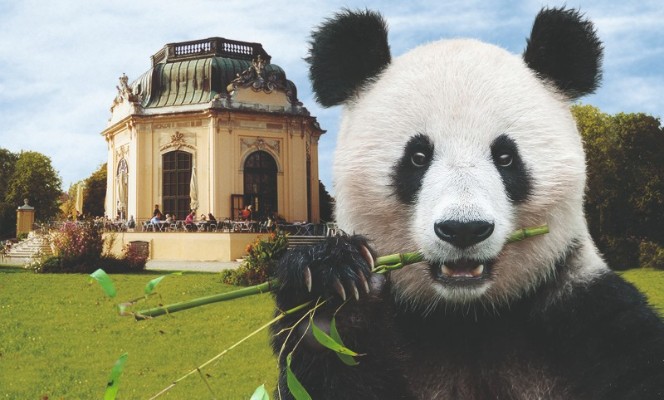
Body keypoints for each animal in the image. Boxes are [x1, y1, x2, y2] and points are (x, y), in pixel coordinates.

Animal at [270, 7, 664, 400]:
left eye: (506, 157)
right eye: (417, 157)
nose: (464, 230)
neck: (467, 316)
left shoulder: (584, 316)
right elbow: (327, 359)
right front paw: (329, 288)